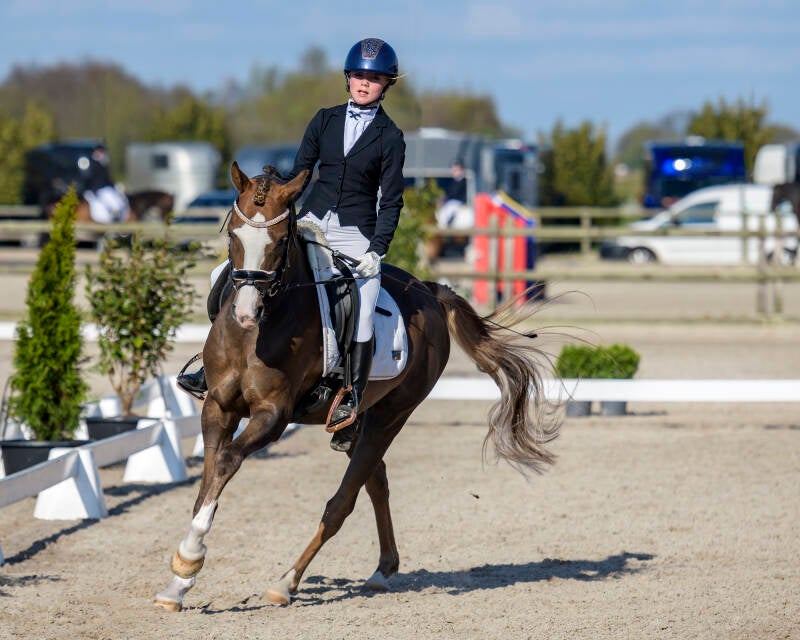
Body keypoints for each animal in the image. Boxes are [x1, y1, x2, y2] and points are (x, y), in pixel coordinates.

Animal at [153, 162, 560, 611]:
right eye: (233, 236)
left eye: (280, 242)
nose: (244, 312)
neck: (257, 332)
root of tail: (429, 292)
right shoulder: (218, 407)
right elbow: (207, 482)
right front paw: (177, 584)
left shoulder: (272, 416)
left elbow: (226, 462)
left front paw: (189, 558)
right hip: (358, 422)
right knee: (375, 479)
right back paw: (383, 570)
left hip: (390, 415)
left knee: (342, 502)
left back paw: (287, 583)